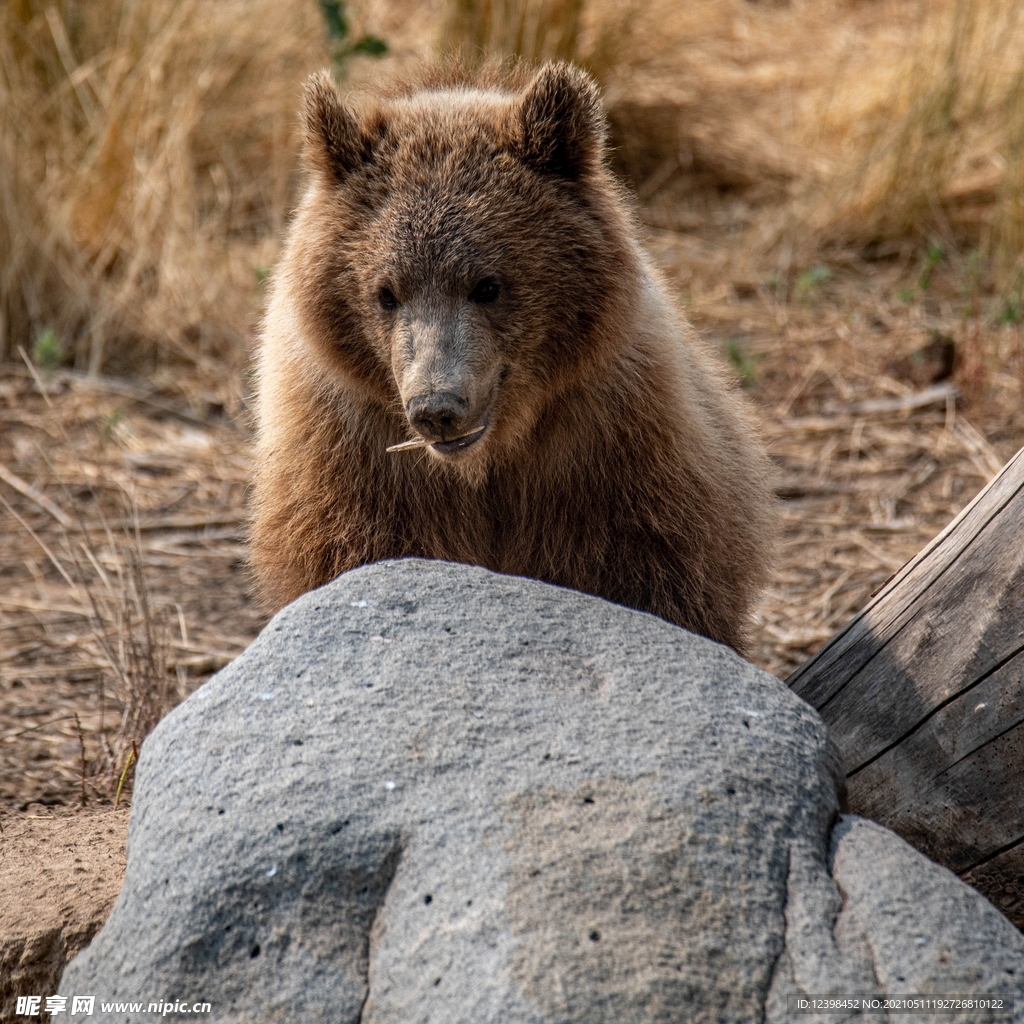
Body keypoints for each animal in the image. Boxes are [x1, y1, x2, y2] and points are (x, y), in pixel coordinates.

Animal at [249, 61, 774, 647]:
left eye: (487, 285)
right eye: (385, 292)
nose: (437, 408)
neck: (487, 463)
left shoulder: (616, 459)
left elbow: (658, 577)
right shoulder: (351, 463)